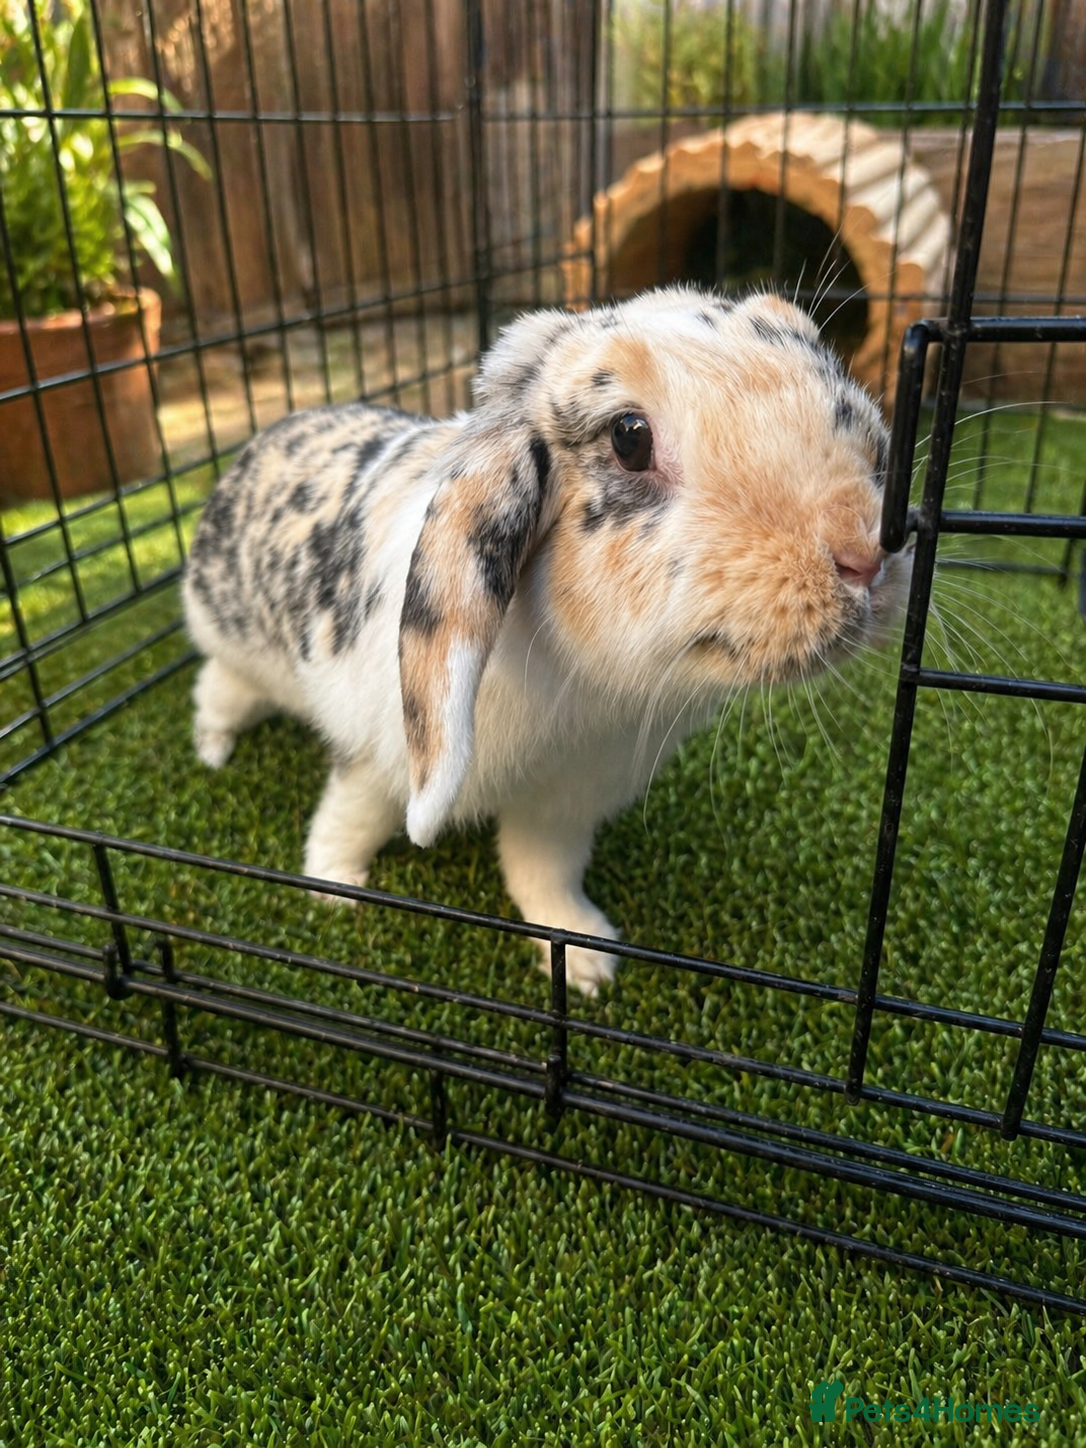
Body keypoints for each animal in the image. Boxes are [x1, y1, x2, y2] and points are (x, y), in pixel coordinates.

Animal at [183, 285, 910, 995]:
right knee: (215, 689)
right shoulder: (375, 761)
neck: (585, 691)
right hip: (237, 657)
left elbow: (541, 873)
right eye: (629, 438)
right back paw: (213, 752)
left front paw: (585, 960)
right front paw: (335, 889)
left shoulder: (562, 802)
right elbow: (350, 818)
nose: (866, 553)